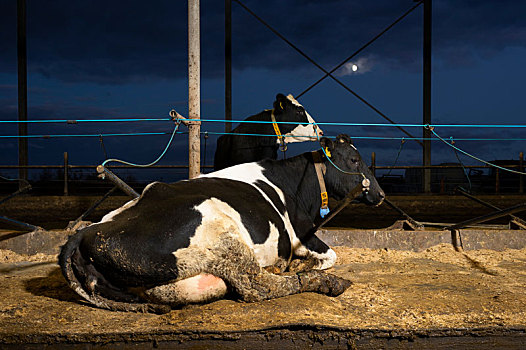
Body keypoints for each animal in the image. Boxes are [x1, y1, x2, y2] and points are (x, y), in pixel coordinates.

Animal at [59, 135, 386, 314]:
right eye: (354, 160)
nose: (381, 194)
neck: (293, 184)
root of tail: (86, 232)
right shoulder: (304, 233)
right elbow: (331, 256)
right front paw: (307, 267)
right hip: (222, 234)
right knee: (255, 287)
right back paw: (325, 282)